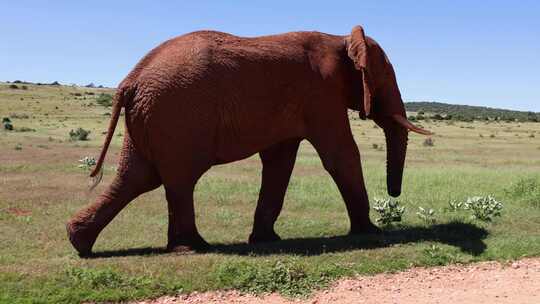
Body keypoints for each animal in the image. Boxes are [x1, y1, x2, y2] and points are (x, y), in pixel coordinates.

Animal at [67, 25, 430, 255]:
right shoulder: (321, 94)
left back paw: (80, 242)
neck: (339, 39)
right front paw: (371, 233)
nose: (394, 195)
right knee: (177, 180)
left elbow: (279, 162)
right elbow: (341, 155)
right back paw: (194, 247)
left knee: (138, 178)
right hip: (175, 117)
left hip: (151, 119)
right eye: (385, 78)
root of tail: (129, 81)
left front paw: (266, 240)